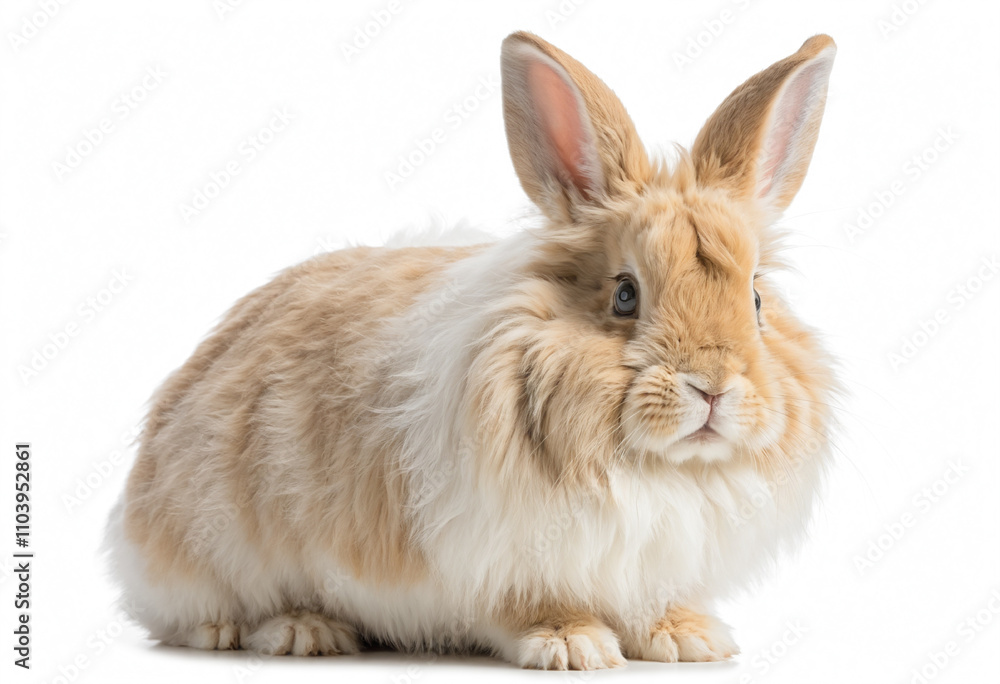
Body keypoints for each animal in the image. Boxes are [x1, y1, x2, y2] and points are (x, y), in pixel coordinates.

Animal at [105, 30, 838, 670]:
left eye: (756, 300)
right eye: (626, 295)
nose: (712, 386)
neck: (660, 471)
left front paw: (688, 639)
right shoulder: (495, 560)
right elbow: (529, 605)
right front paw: (572, 646)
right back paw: (295, 631)